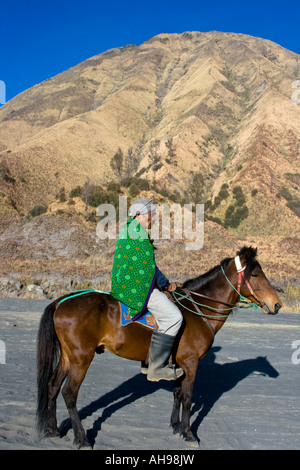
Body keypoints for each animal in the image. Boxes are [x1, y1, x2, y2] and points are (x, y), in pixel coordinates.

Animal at [37, 246, 282, 448]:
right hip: (81, 358)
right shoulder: (191, 363)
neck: (198, 310)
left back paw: (53, 430)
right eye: (255, 274)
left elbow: (177, 393)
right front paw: (189, 434)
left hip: (68, 357)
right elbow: (188, 397)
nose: (277, 304)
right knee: (69, 393)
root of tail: (60, 302)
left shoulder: (180, 364)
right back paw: (81, 439)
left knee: (52, 386)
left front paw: (175, 426)